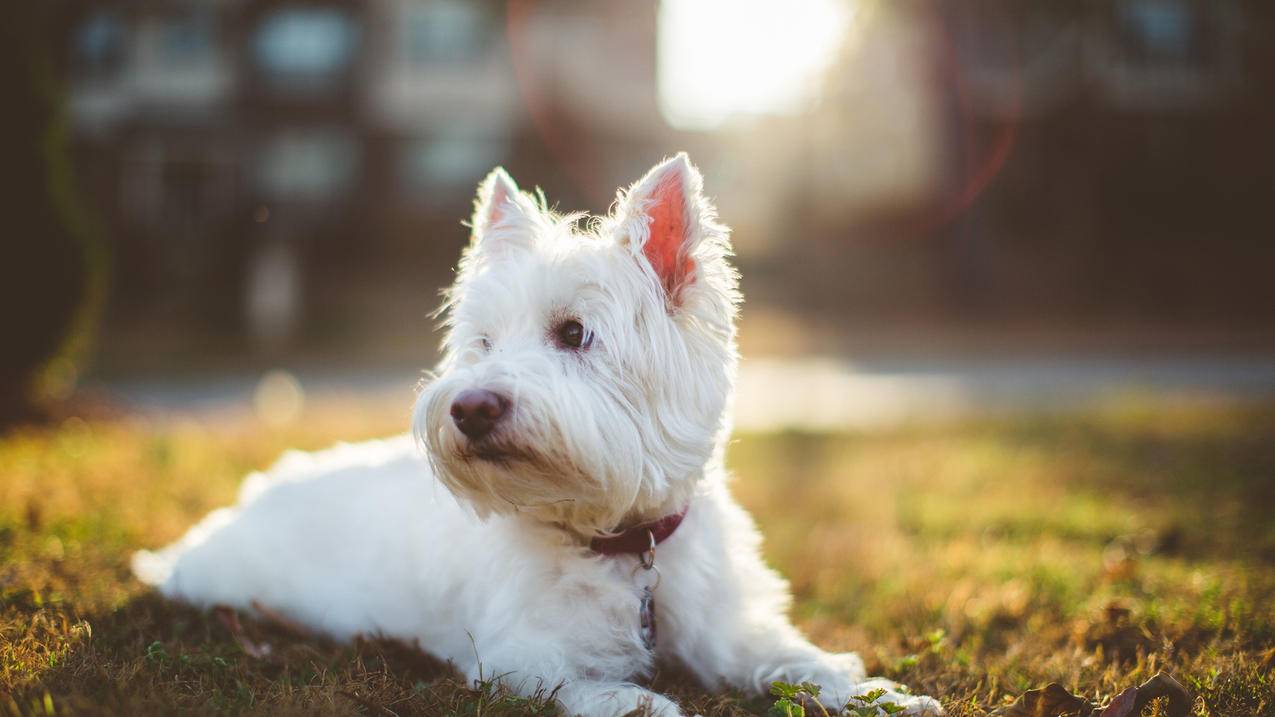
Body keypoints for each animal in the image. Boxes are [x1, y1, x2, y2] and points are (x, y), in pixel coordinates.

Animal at [134, 153, 943, 709]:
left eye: (573, 333)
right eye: (483, 342)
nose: (469, 408)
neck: (623, 545)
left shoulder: (732, 628)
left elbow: (805, 661)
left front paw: (887, 696)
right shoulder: (516, 657)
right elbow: (601, 690)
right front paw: (650, 701)